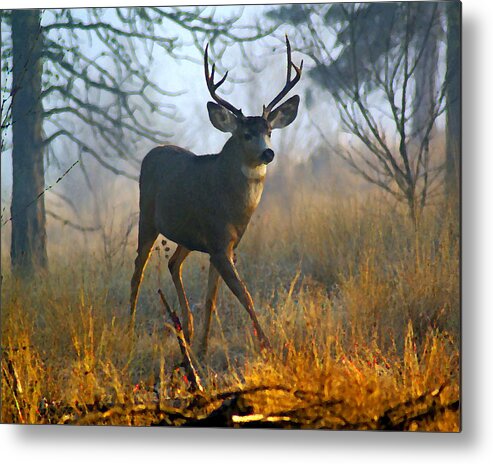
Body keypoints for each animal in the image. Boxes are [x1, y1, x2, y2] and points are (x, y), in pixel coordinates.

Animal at [129, 37, 302, 356]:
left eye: (270, 131)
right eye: (246, 134)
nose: (268, 153)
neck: (231, 206)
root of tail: (153, 151)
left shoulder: (224, 245)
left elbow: (211, 298)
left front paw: (202, 348)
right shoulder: (219, 243)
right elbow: (244, 294)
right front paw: (267, 345)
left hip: (187, 236)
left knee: (173, 264)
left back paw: (186, 328)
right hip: (146, 217)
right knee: (138, 271)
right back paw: (129, 327)